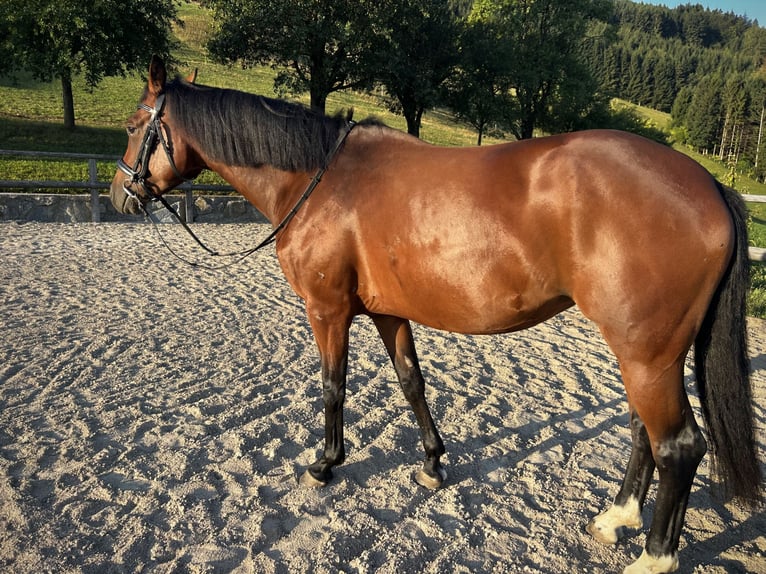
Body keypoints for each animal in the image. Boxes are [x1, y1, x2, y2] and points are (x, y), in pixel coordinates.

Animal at [110, 57, 762, 574]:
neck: (321, 180)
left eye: (135, 126)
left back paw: (653, 556)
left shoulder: (328, 311)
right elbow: (411, 383)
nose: (122, 196)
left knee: (677, 445)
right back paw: (616, 518)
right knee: (642, 431)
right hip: (641, 354)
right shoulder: (387, 313)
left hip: (647, 354)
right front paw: (430, 463)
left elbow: (333, 385)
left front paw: (324, 464)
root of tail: (708, 184)